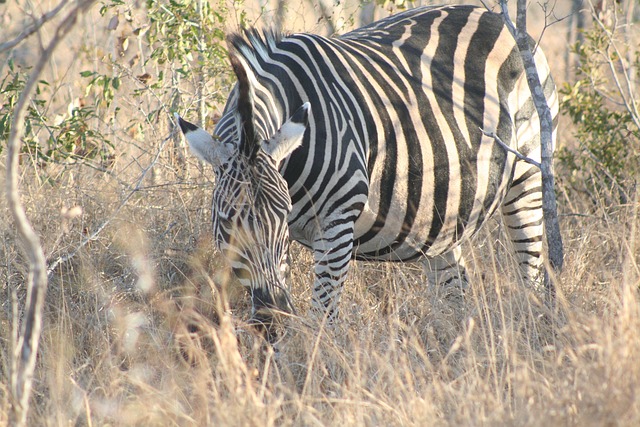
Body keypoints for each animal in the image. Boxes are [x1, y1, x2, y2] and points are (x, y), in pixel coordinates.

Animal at [174, 3, 556, 332]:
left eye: (282, 218)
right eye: (226, 222)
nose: (272, 315)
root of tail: (491, 15)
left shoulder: (337, 222)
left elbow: (323, 317)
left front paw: (315, 369)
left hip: (528, 172)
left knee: (532, 270)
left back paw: (533, 330)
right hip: (442, 209)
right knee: (455, 289)